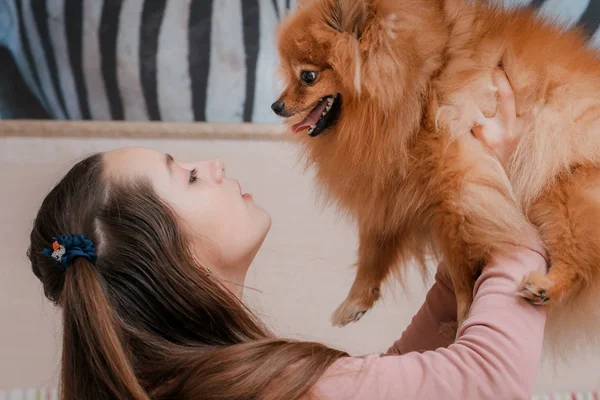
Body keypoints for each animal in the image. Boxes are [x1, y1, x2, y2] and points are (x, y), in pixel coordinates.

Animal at [274, 0, 600, 350]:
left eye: (308, 76)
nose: (275, 105)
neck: (419, 83)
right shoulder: (392, 188)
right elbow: (372, 249)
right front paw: (355, 300)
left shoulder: (456, 192)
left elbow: (460, 272)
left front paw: (466, 317)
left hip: (563, 191)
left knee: (578, 259)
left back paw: (546, 287)